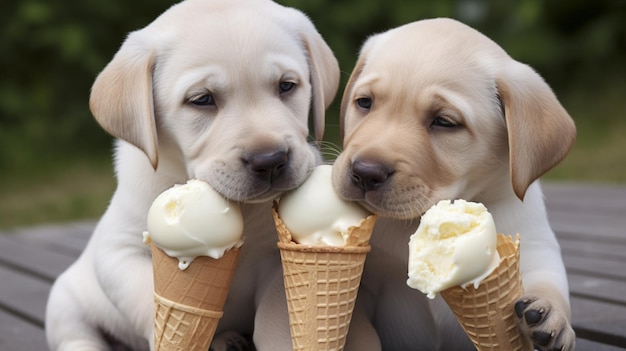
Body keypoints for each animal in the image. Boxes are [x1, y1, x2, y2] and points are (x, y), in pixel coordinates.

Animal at [44, 0, 338, 350]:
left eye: (286, 86)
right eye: (202, 99)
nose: (270, 160)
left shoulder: (277, 260)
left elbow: (275, 321)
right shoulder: (118, 252)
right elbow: (150, 303)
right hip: (65, 301)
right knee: (77, 337)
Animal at [332, 19, 576, 351]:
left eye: (444, 122)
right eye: (364, 103)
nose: (365, 172)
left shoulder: (536, 250)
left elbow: (549, 283)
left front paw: (551, 315)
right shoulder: (365, 287)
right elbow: (358, 331)